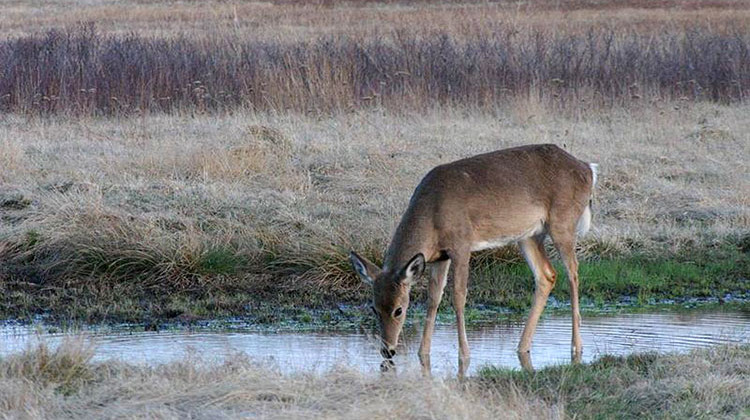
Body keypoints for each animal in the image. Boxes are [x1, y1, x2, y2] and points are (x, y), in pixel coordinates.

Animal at [350, 144, 604, 374]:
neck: (432, 214)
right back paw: (522, 347)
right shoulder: (439, 257)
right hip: (528, 235)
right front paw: (423, 354)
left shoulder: (461, 244)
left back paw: (577, 348)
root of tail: (587, 169)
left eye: (399, 310)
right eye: (374, 308)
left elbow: (458, 297)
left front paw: (464, 355)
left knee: (573, 273)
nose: (388, 350)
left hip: (563, 222)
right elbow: (434, 298)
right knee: (547, 275)